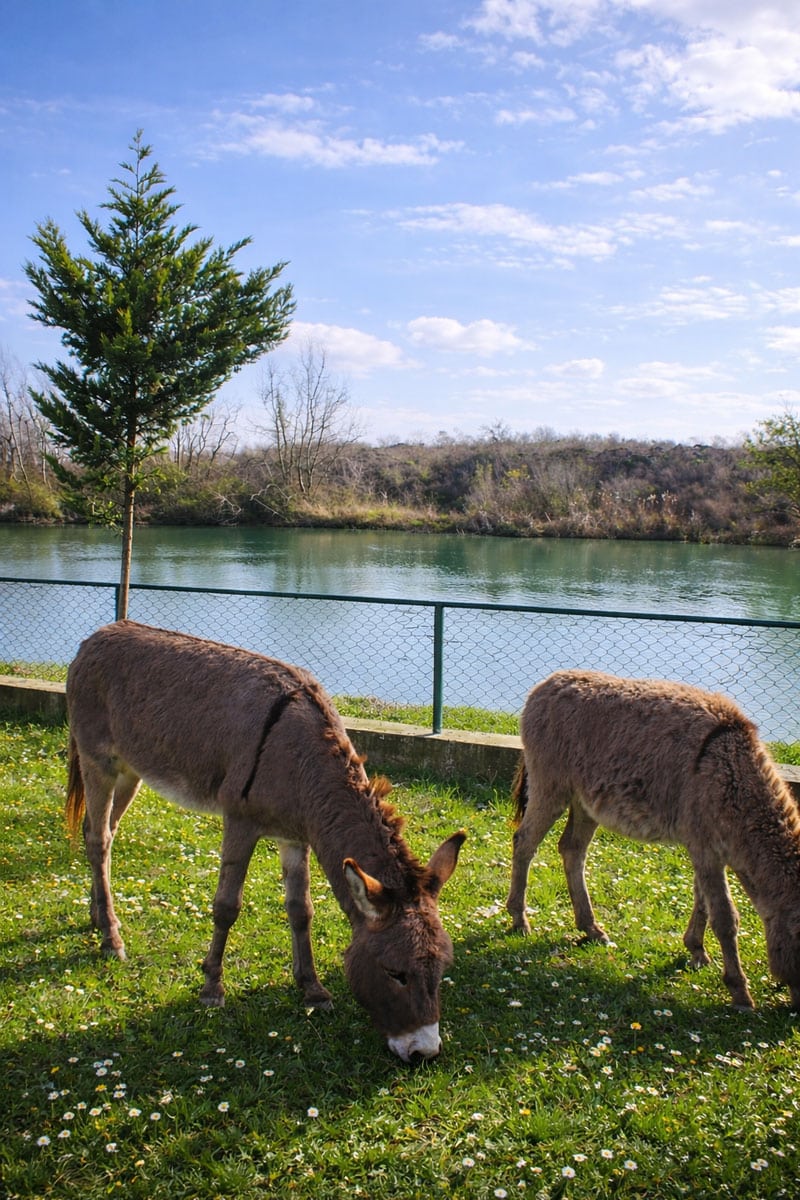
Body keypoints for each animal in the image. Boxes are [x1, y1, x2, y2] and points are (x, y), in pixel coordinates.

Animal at [65, 621, 465, 1061]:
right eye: (396, 973)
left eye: (442, 969)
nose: (425, 1052)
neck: (298, 756)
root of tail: (101, 634)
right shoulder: (240, 822)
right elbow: (226, 906)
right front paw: (212, 988)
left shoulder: (295, 837)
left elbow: (301, 910)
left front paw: (313, 990)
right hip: (97, 761)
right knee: (98, 840)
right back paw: (111, 939)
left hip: (131, 770)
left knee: (101, 833)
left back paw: (98, 915)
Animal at [506, 669, 800, 1010]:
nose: (796, 1009)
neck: (730, 775)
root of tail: (547, 683)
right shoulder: (706, 848)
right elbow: (725, 917)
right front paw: (740, 992)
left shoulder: (703, 848)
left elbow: (702, 902)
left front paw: (696, 950)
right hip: (551, 784)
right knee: (524, 842)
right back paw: (519, 920)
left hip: (584, 801)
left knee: (571, 850)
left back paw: (591, 927)